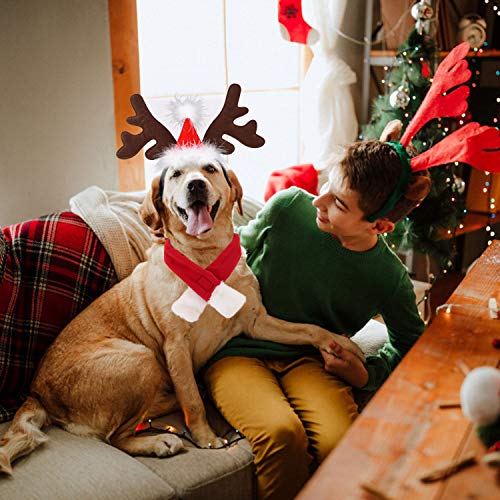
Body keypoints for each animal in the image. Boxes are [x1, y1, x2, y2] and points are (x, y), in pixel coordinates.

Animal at [0, 144, 364, 472]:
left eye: (209, 169)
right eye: (176, 174)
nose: (195, 185)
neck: (205, 257)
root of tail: (36, 391)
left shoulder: (256, 321)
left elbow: (309, 328)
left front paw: (340, 344)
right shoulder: (175, 344)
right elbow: (191, 399)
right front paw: (206, 438)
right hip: (140, 359)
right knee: (115, 436)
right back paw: (159, 440)